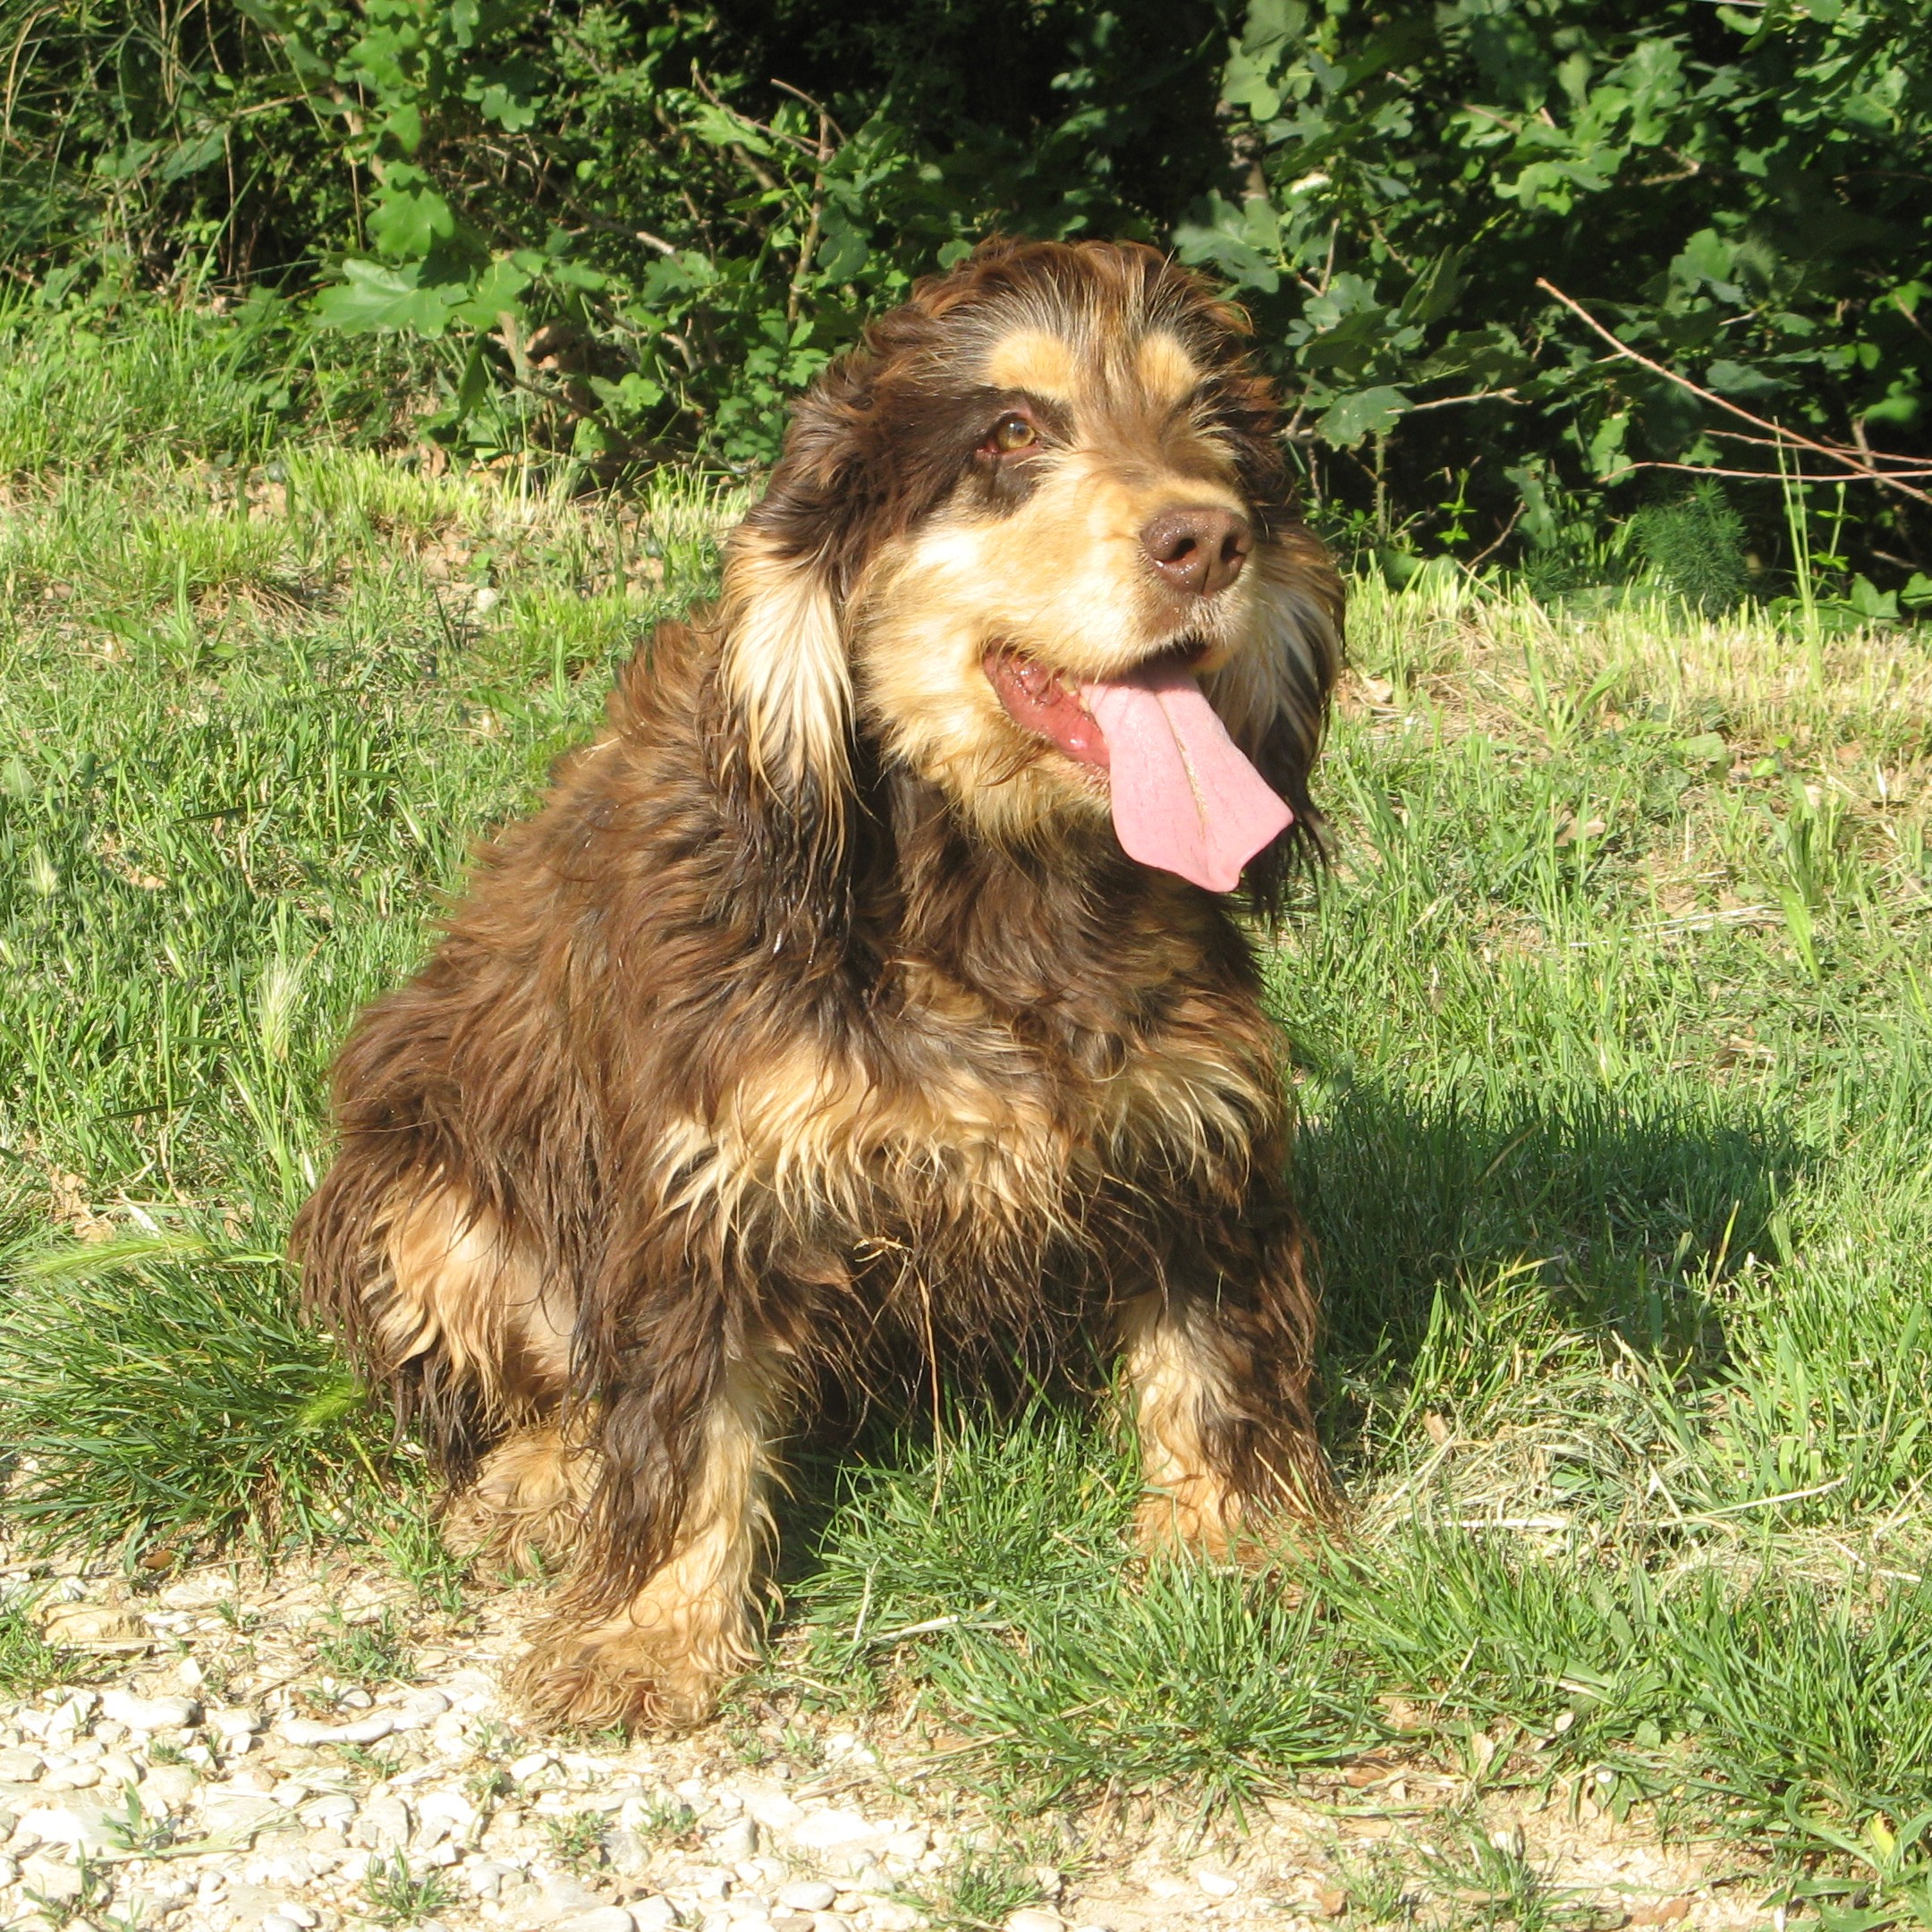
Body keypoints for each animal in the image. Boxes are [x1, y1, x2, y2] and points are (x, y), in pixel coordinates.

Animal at [297, 233, 1344, 1731]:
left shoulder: (1197, 1139)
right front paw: (651, 1637)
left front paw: (1237, 1540)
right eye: (1009, 432)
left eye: (1212, 421)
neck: (990, 886)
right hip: (416, 1192)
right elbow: (681, 1425)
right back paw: (540, 1476)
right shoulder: (704, 1184)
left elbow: (1214, 1365)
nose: (1207, 539)